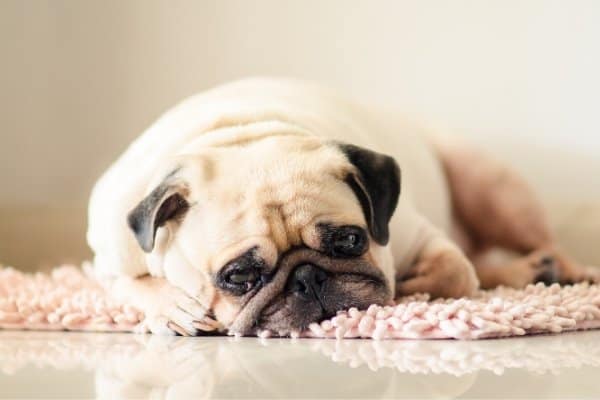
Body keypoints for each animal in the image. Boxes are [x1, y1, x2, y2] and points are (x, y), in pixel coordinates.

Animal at [86, 76, 596, 336]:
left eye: (350, 241)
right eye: (239, 277)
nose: (307, 278)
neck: (241, 134)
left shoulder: (418, 234)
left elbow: (455, 271)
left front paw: (411, 286)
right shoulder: (107, 258)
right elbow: (129, 285)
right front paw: (174, 307)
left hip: (490, 185)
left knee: (525, 245)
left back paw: (565, 271)